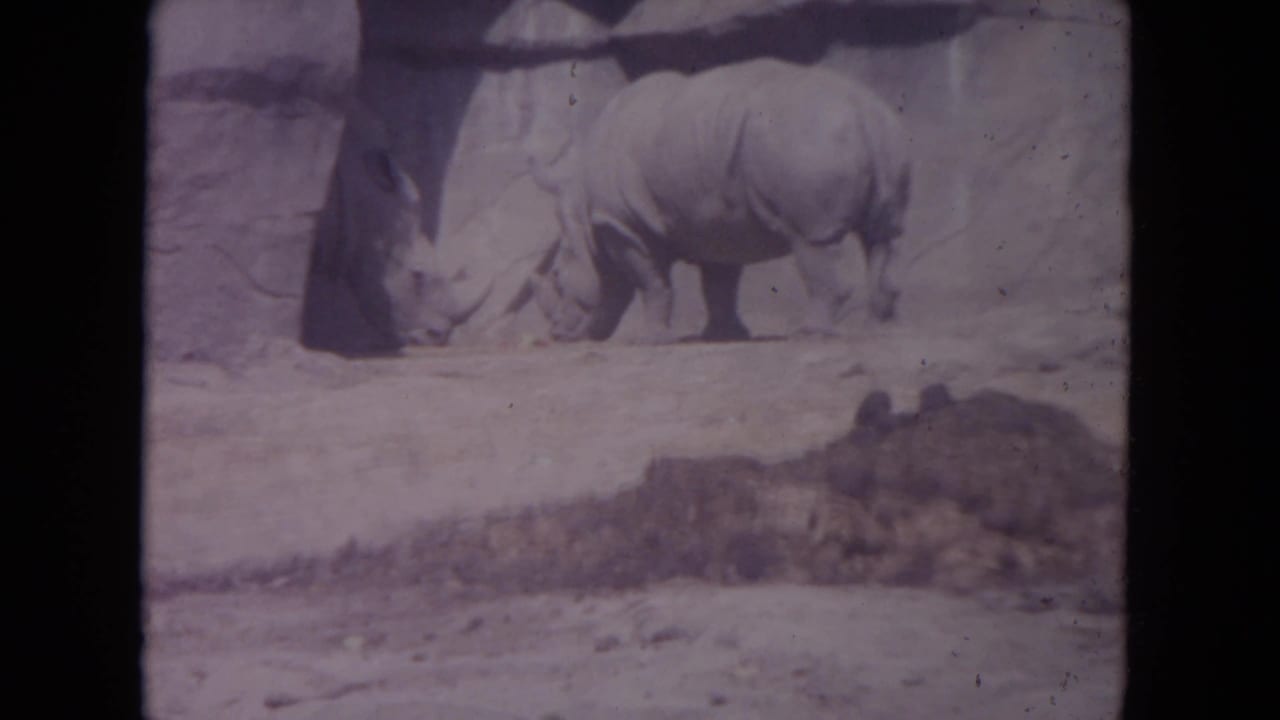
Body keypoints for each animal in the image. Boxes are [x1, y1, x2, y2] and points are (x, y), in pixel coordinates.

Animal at [521, 58, 911, 343]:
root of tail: (863, 110)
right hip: (879, 134)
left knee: (811, 240)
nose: (556, 335)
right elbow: (719, 284)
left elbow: (651, 283)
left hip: (806, 137)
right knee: (882, 236)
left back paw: (811, 334)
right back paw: (880, 329)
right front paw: (723, 336)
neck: (581, 207)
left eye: (557, 277)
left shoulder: (622, 225)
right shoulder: (716, 221)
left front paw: (649, 341)